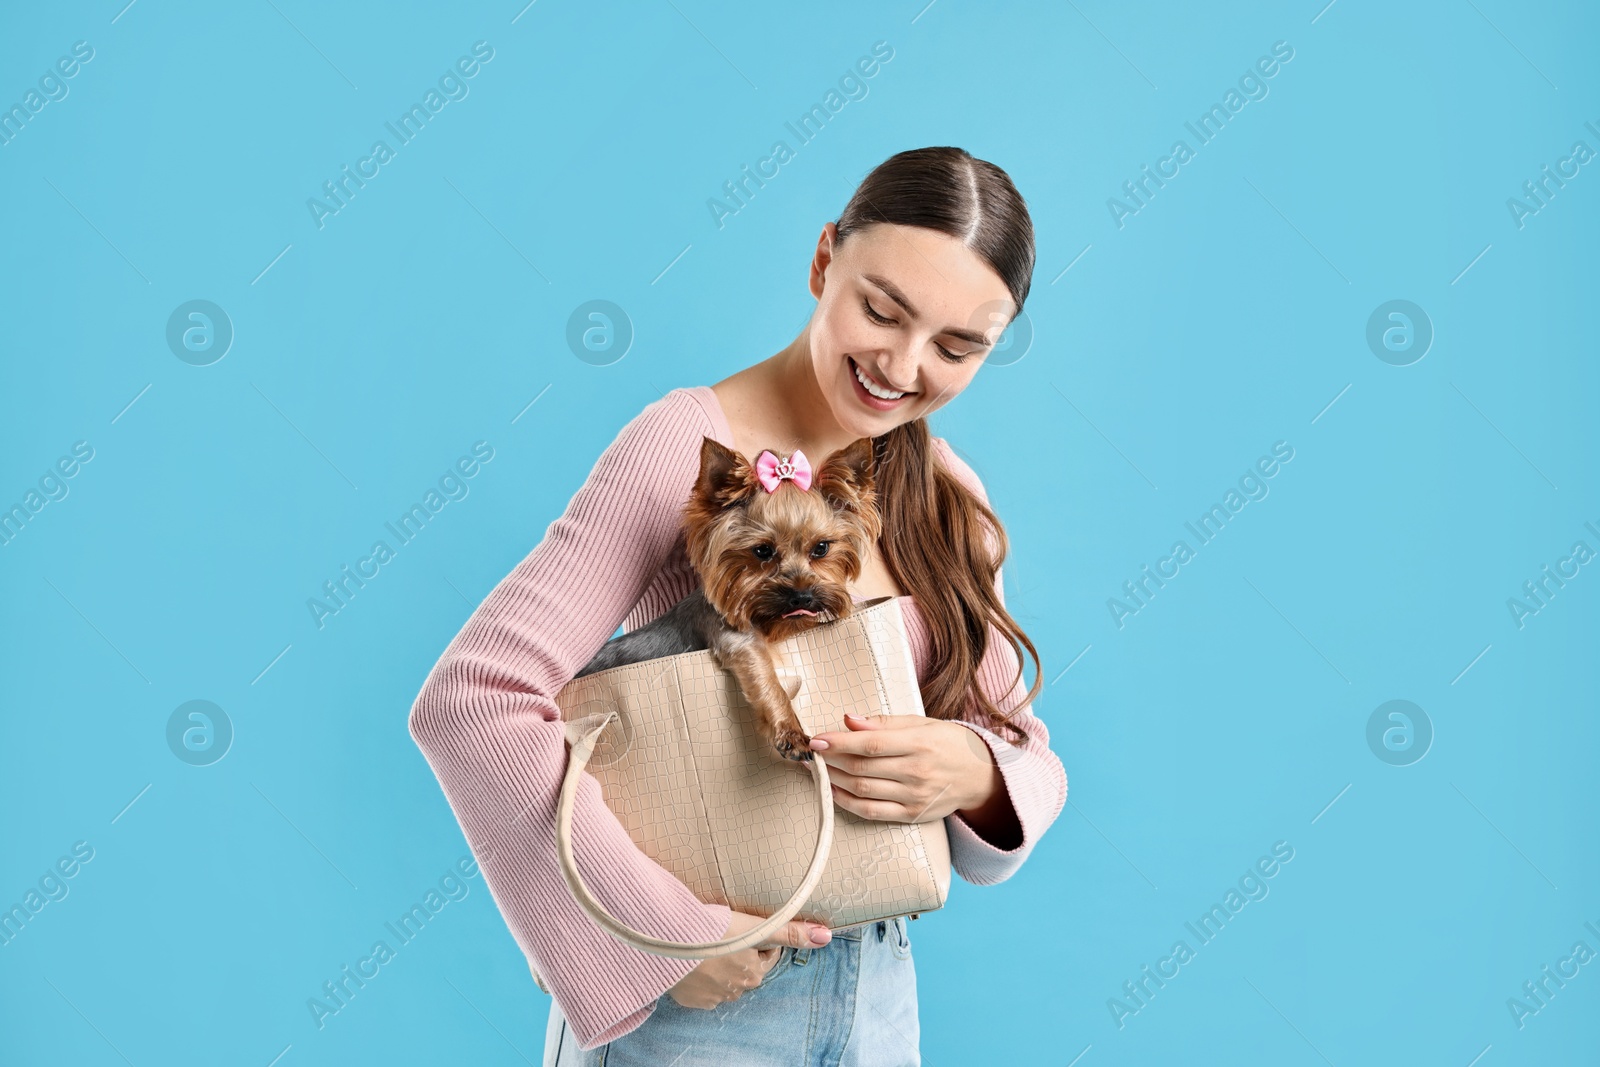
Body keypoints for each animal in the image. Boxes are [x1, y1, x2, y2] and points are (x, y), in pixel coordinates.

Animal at [576, 438, 883, 764]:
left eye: (821, 547)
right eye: (762, 551)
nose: (802, 595)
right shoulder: (737, 640)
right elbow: (769, 682)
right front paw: (791, 733)